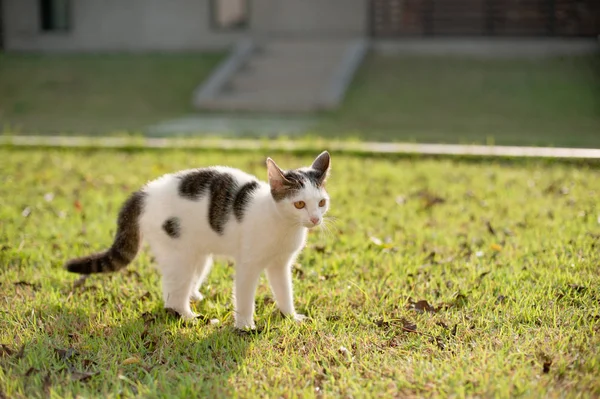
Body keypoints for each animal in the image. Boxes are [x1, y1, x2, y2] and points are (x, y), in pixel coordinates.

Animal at [64, 152, 332, 330]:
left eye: (321, 202)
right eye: (299, 204)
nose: (315, 219)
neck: (283, 225)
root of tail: (144, 192)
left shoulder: (280, 264)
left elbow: (284, 291)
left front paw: (290, 316)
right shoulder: (248, 264)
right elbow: (245, 296)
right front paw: (245, 326)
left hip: (198, 254)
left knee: (180, 281)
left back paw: (193, 296)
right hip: (178, 251)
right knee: (173, 293)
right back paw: (188, 316)